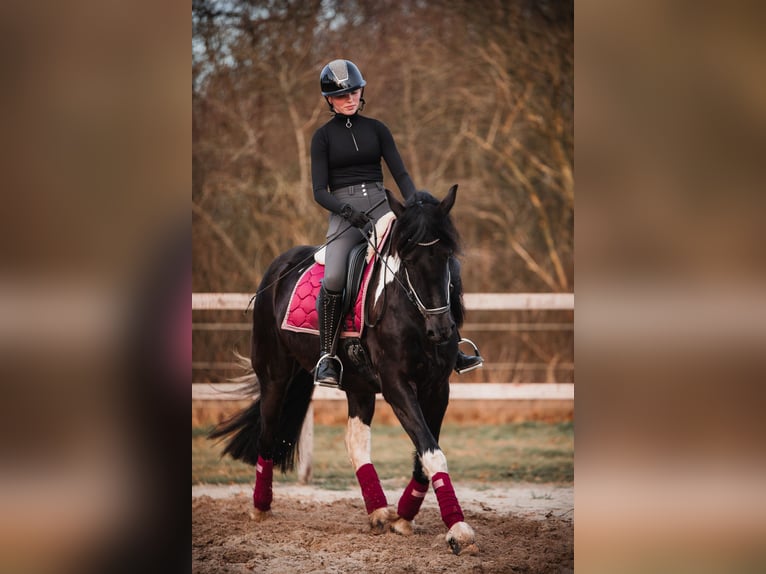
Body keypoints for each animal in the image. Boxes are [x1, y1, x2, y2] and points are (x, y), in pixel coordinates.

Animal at [207, 187, 476, 556]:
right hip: (275, 376)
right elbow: (432, 452)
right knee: (268, 433)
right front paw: (458, 531)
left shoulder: (437, 388)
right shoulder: (396, 385)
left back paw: (378, 511)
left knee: (355, 440)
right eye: (406, 260)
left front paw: (404, 519)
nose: (441, 330)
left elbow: (426, 453)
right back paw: (260, 508)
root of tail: (279, 267)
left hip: (357, 384)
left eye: (447, 255)